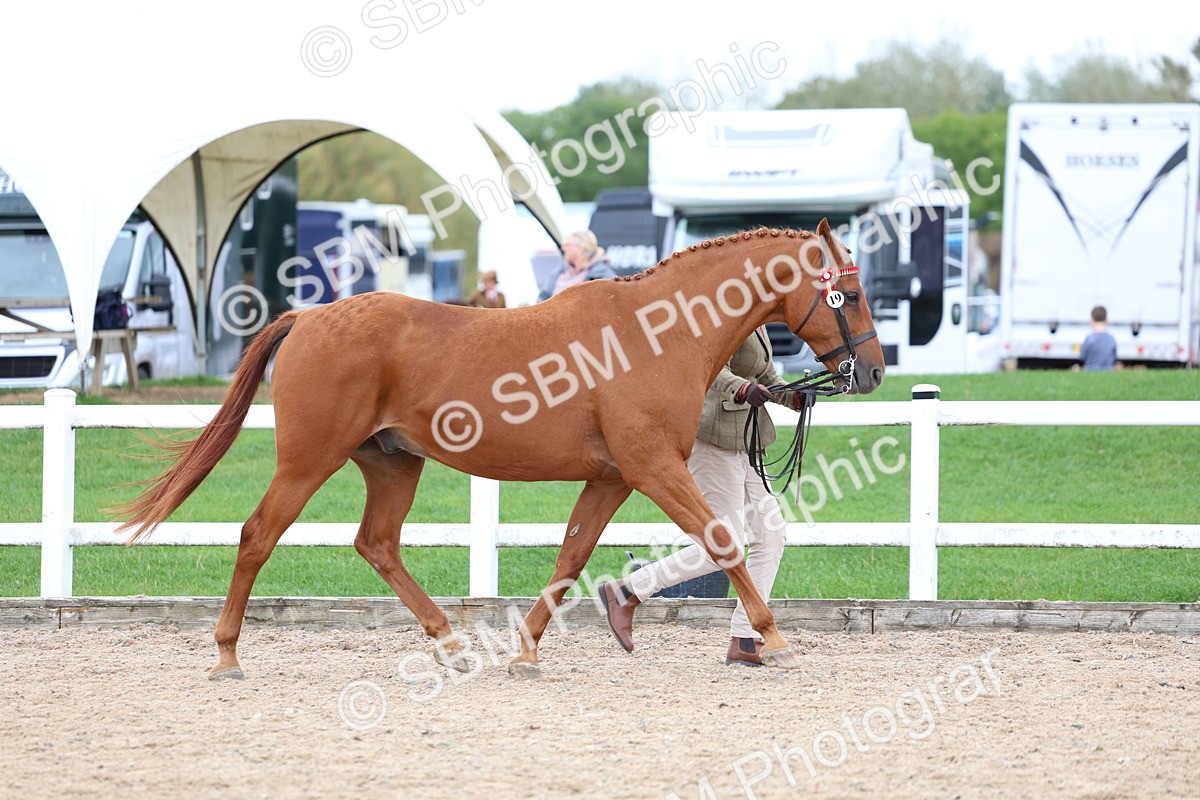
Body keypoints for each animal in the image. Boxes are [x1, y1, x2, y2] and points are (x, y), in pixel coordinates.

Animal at [116, 219, 885, 680]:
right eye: (847, 294)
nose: (873, 372)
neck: (654, 332)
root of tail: (309, 315)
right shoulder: (654, 468)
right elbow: (722, 542)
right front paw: (773, 637)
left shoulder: (614, 477)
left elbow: (571, 558)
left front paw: (526, 650)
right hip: (310, 460)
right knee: (258, 535)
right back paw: (226, 655)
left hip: (392, 461)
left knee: (377, 544)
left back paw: (452, 642)